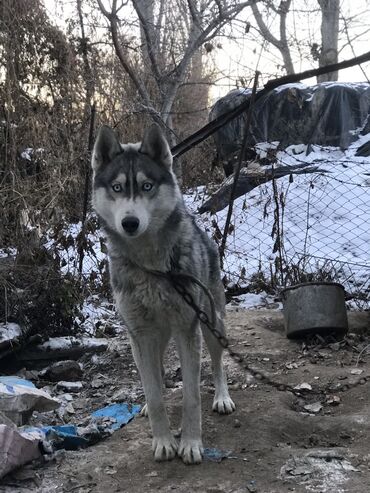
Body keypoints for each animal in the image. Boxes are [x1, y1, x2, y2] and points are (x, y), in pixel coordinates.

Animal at [91, 125, 236, 464]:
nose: (130, 223)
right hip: (149, 339)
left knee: (218, 363)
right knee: (154, 372)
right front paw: (163, 441)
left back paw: (222, 397)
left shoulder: (188, 329)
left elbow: (192, 396)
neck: (152, 268)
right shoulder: (141, 335)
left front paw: (191, 444)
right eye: (117, 187)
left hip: (212, 324)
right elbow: (155, 393)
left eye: (147, 186)